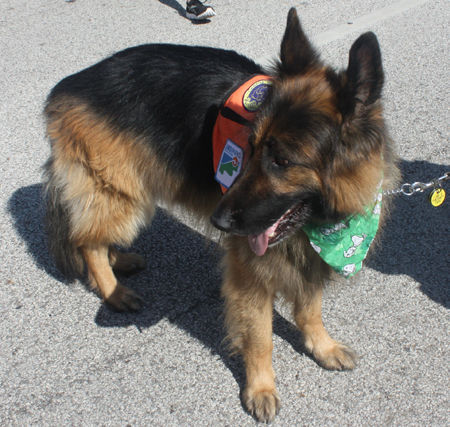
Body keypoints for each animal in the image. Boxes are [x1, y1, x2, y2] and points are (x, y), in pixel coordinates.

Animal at [44, 7, 400, 424]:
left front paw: (321, 346)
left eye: (282, 161)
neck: (321, 225)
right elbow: (261, 337)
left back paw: (121, 261)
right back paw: (113, 291)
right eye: (250, 146)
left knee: (93, 234)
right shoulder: (250, 272)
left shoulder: (308, 254)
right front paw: (261, 388)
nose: (219, 223)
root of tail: (72, 84)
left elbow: (310, 308)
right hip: (124, 196)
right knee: (87, 241)